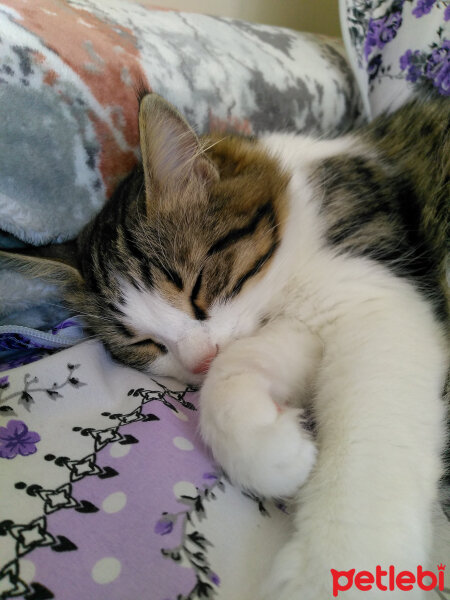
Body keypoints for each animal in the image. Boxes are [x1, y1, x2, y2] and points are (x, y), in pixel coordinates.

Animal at [2, 91, 446, 596]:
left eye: (196, 289)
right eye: (145, 343)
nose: (199, 360)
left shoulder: (377, 300)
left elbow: (368, 456)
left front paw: (335, 570)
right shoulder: (301, 324)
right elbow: (233, 376)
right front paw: (273, 449)